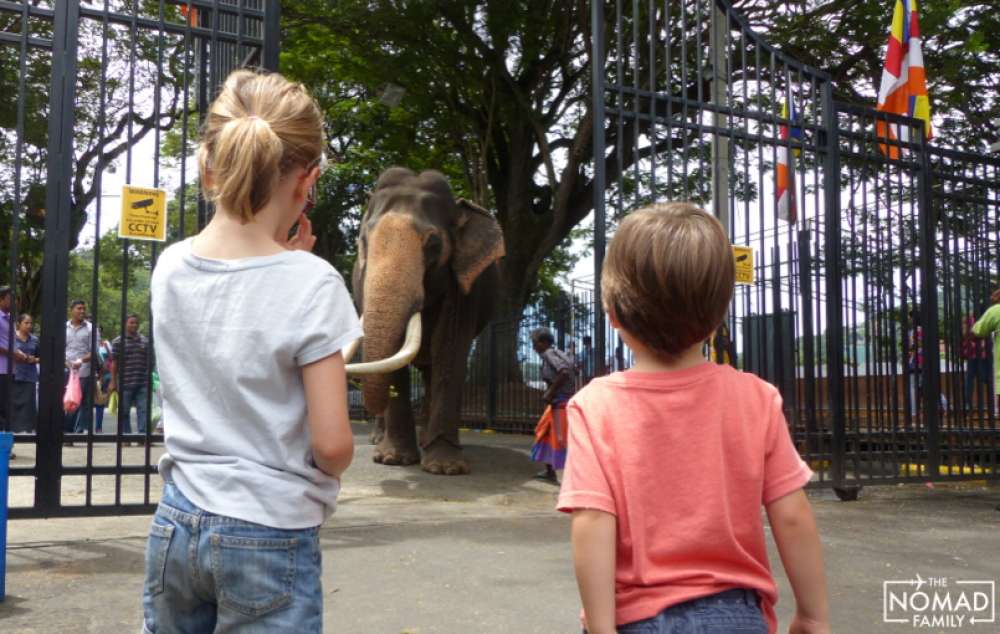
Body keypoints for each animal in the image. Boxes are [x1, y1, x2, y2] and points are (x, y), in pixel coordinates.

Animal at [344, 168, 504, 474]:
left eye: (433, 244)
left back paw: (426, 440)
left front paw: (446, 468)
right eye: (364, 242)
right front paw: (392, 459)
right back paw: (379, 441)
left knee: (431, 370)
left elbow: (449, 350)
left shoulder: (463, 286)